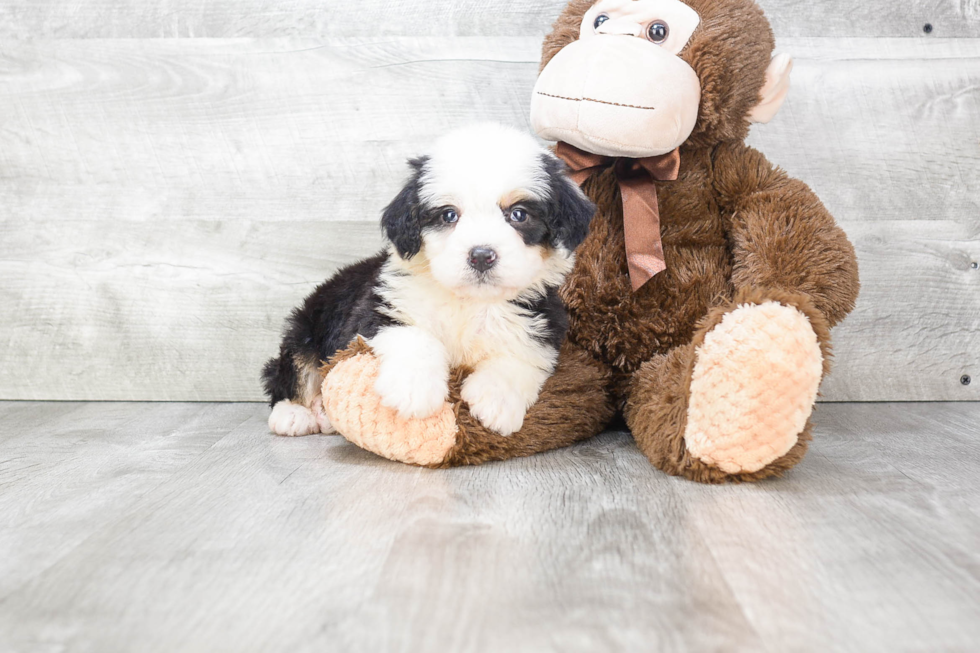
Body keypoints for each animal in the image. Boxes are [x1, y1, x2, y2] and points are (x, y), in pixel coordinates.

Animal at [260, 122, 592, 438]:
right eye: (448, 215)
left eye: (519, 214)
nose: (481, 255)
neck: (468, 301)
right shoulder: (379, 309)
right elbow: (415, 337)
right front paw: (413, 389)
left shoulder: (540, 323)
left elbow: (519, 356)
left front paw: (496, 401)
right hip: (305, 329)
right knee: (288, 373)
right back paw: (294, 414)